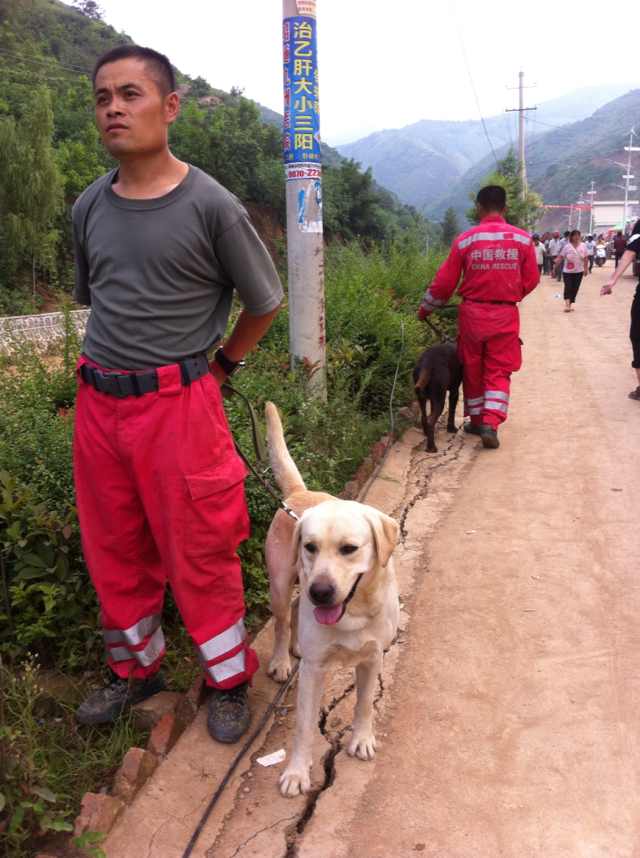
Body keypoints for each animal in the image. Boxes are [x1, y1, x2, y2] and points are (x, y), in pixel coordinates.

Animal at [262, 402, 398, 796]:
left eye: (349, 549)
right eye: (310, 546)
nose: (319, 592)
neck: (353, 613)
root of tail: (299, 493)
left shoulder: (372, 658)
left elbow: (364, 704)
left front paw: (362, 739)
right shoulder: (314, 670)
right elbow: (304, 728)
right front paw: (297, 772)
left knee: (295, 610)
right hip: (281, 584)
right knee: (282, 620)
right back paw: (282, 659)